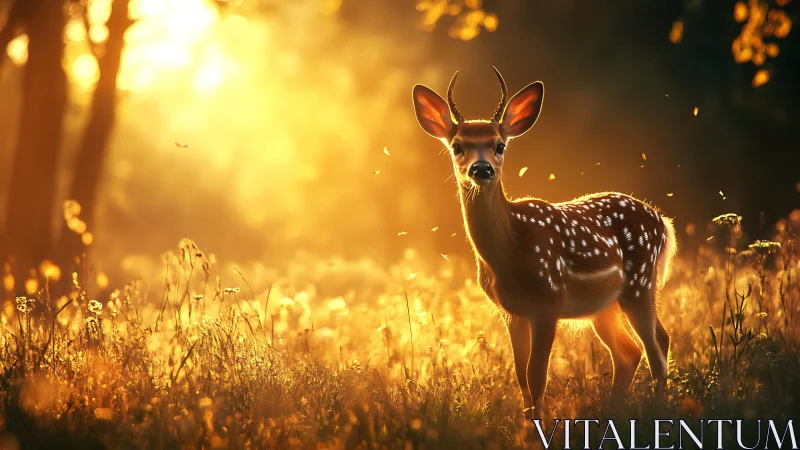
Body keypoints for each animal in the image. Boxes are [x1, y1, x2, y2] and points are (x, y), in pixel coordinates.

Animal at [411, 68, 677, 420]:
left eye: (499, 145)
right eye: (457, 146)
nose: (481, 168)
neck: (509, 250)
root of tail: (663, 221)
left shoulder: (548, 303)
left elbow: (538, 377)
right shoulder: (511, 311)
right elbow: (521, 377)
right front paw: (526, 426)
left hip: (640, 282)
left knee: (657, 348)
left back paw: (657, 414)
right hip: (604, 305)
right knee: (630, 352)